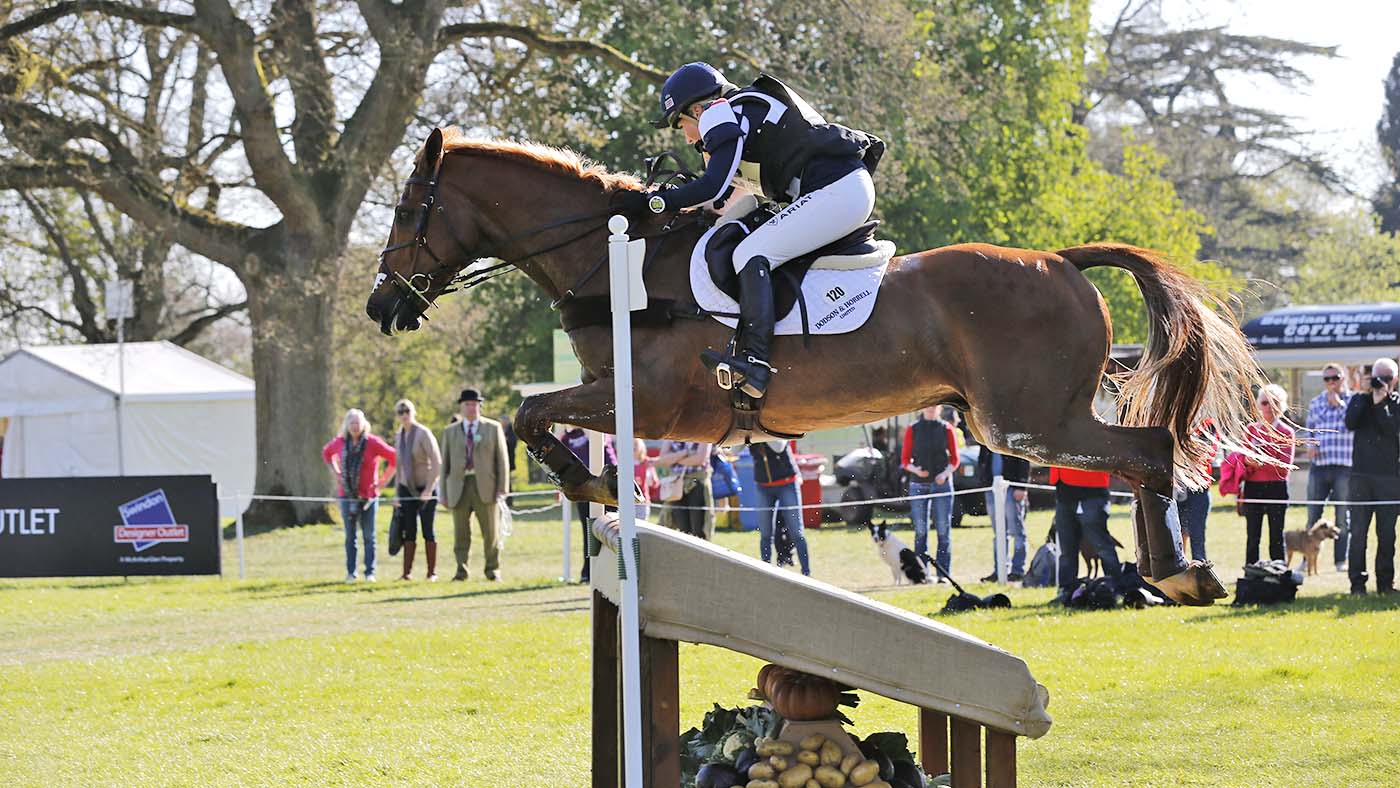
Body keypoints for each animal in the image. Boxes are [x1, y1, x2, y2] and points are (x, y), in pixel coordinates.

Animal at [367, 128, 1267, 604]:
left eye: (409, 211)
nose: (381, 307)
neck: (618, 262)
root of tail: (1060, 259)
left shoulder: (648, 405)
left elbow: (529, 415)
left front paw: (586, 481)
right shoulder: (630, 403)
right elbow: (534, 414)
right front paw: (593, 485)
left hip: (1025, 423)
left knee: (1148, 451)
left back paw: (1180, 574)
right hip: (1023, 421)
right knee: (1145, 456)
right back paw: (1177, 574)